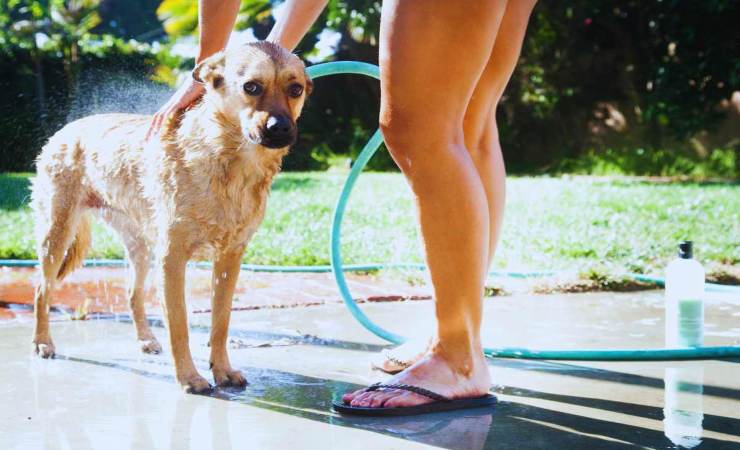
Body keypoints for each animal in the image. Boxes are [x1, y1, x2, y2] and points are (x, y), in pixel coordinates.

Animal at [31, 43, 312, 394]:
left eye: (295, 89)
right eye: (251, 87)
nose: (280, 128)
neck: (230, 163)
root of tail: (66, 130)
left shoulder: (229, 259)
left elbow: (221, 322)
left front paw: (222, 370)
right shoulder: (172, 258)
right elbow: (180, 325)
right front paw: (189, 377)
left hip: (140, 247)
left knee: (132, 293)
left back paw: (146, 340)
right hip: (57, 234)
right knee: (41, 290)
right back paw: (43, 342)